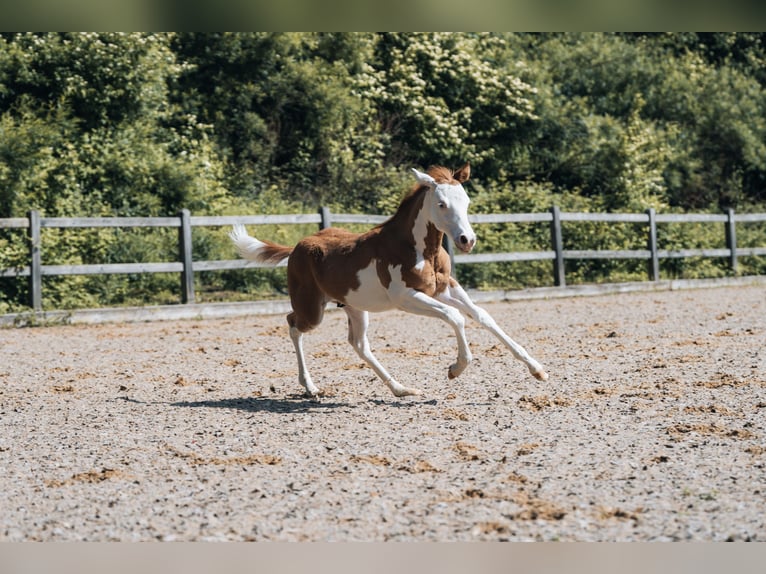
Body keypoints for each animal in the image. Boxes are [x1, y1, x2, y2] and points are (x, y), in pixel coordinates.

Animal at [231, 165, 548, 400]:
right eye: (442, 204)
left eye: (467, 202)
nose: (466, 240)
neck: (420, 249)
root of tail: (297, 246)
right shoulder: (406, 297)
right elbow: (455, 317)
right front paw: (456, 368)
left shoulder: (445, 289)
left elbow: (483, 316)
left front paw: (538, 370)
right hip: (312, 309)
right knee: (293, 324)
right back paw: (310, 387)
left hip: (354, 306)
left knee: (358, 344)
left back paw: (401, 389)